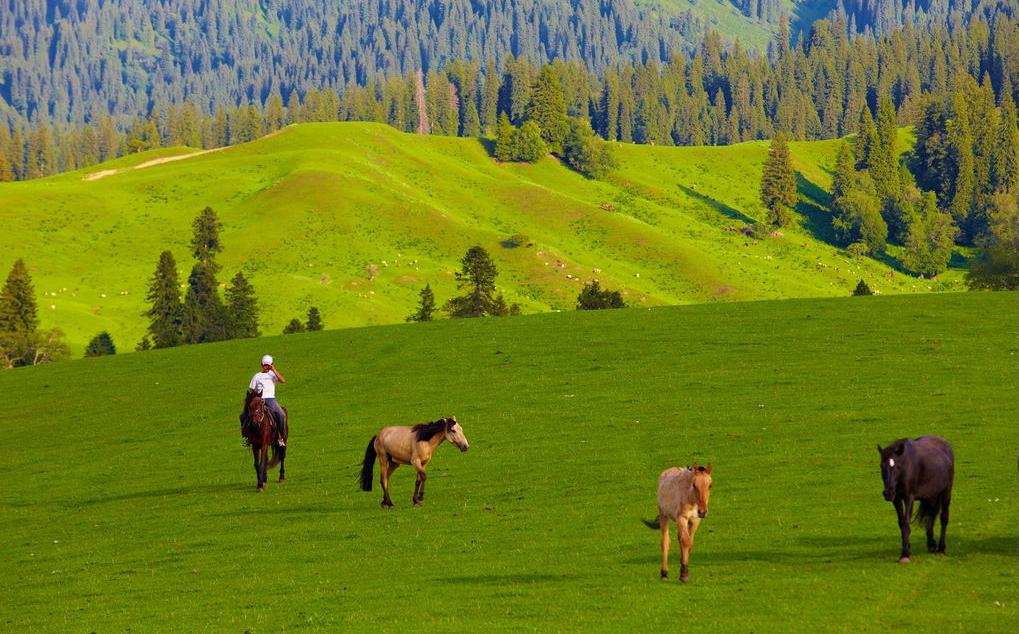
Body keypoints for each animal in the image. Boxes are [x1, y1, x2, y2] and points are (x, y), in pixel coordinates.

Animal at [876, 434, 953, 562]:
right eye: (882, 466)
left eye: (896, 466)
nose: (888, 493)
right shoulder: (896, 499)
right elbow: (901, 523)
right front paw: (907, 548)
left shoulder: (909, 498)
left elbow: (906, 522)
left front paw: (905, 554)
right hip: (931, 495)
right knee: (930, 517)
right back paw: (931, 544)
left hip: (946, 492)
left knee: (944, 518)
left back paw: (941, 549)